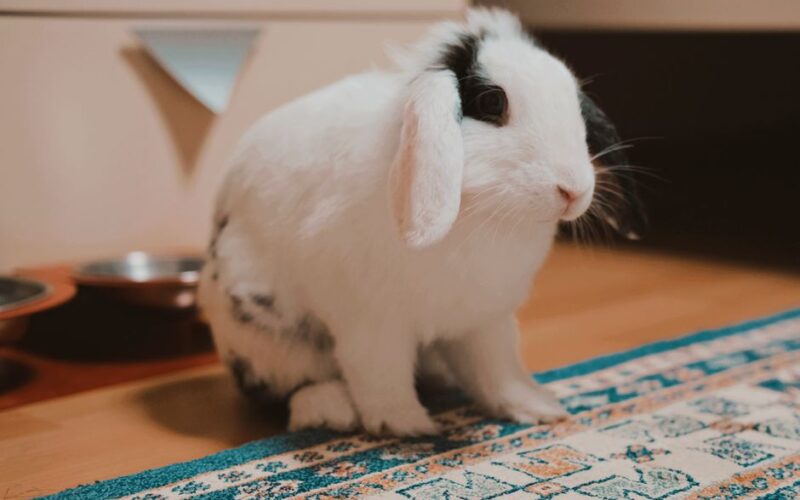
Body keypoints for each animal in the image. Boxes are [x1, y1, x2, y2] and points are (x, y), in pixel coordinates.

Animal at [198, 8, 645, 436]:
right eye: (492, 102)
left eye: (575, 102)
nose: (573, 190)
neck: (482, 214)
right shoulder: (372, 322)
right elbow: (380, 376)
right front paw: (407, 426)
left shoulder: (485, 321)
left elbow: (498, 371)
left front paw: (539, 408)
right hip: (269, 338)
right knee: (295, 386)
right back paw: (331, 411)